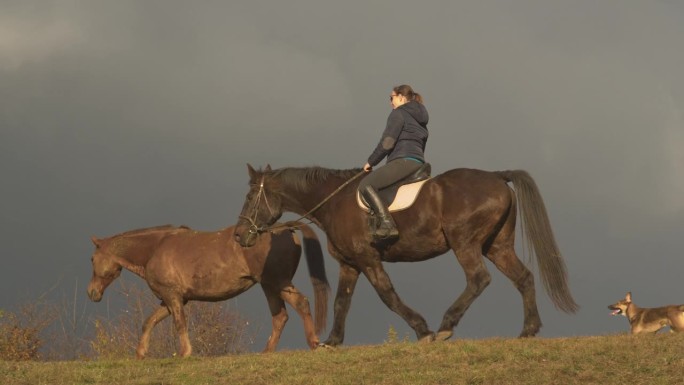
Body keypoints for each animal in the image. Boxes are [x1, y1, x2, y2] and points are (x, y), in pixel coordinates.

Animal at [87, 222, 328, 356]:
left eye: (92, 259)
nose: (91, 293)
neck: (156, 248)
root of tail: (285, 228)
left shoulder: (172, 297)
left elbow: (180, 323)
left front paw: (185, 353)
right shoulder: (170, 299)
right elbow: (149, 322)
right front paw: (140, 354)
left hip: (277, 282)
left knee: (301, 304)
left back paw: (314, 343)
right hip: (269, 286)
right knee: (280, 317)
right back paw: (267, 351)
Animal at [234, 165, 576, 344]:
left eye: (250, 197)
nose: (239, 235)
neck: (333, 201)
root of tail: (497, 176)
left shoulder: (368, 260)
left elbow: (388, 296)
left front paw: (423, 330)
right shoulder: (350, 264)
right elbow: (342, 301)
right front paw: (332, 342)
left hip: (465, 243)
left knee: (478, 279)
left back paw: (445, 325)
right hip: (497, 246)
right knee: (523, 278)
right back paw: (528, 330)